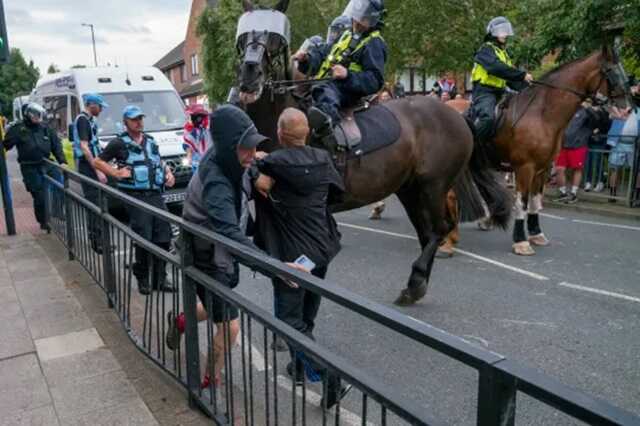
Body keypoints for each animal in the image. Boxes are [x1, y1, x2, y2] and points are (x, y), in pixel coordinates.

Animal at [232, 0, 512, 306]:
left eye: (274, 39)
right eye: (243, 36)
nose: (250, 73)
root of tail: (457, 116)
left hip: (433, 186)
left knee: (440, 228)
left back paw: (416, 280)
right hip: (409, 189)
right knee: (427, 233)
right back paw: (417, 285)